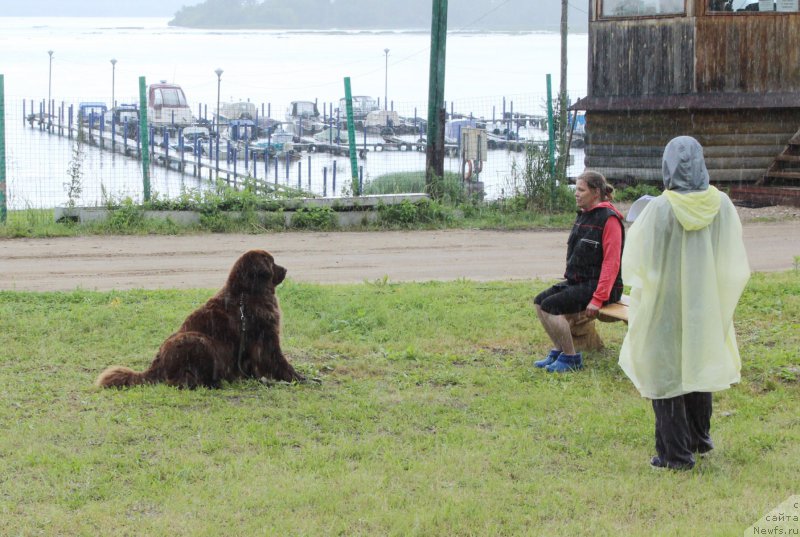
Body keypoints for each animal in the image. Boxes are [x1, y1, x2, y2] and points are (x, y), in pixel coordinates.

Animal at [94, 249, 306, 388]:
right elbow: (278, 360)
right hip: (199, 341)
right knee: (180, 381)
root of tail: (157, 363)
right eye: (272, 262)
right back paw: (213, 383)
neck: (247, 294)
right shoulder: (266, 337)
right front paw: (297, 378)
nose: (285, 270)